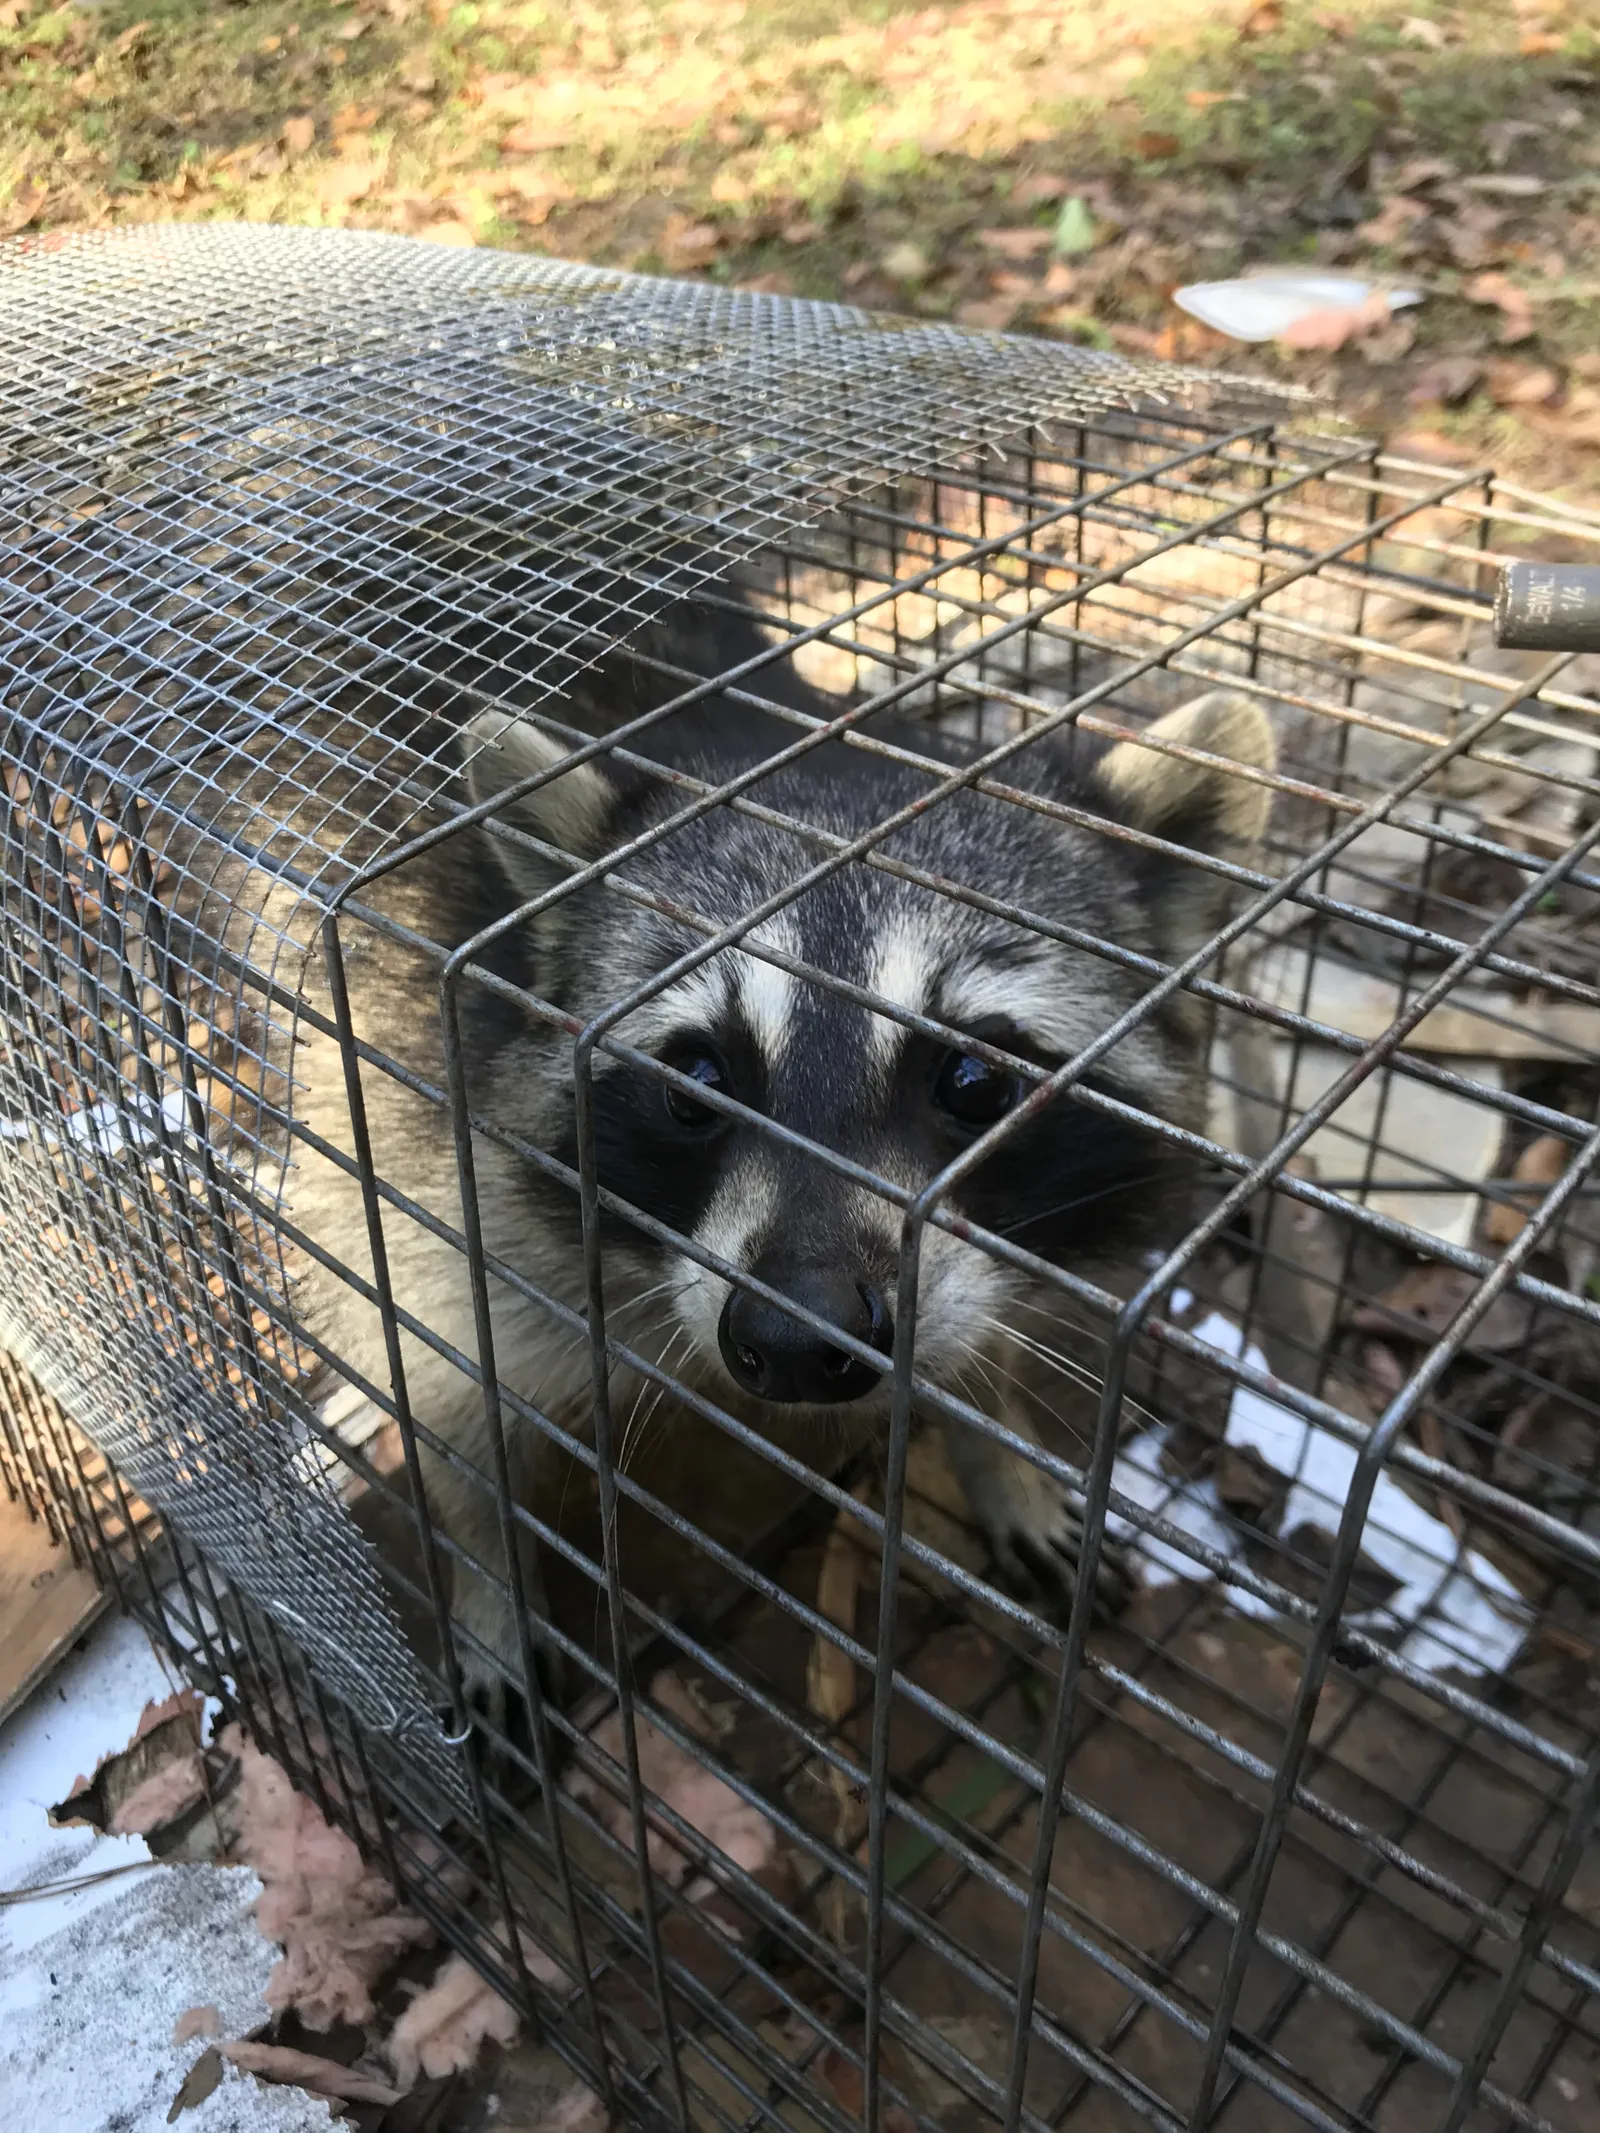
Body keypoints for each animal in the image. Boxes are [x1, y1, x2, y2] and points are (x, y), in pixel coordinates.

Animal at [285, 591, 1275, 1716]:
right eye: (698, 1078)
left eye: (972, 1080)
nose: (799, 1340)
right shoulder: (421, 1099)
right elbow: (447, 1369)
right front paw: (491, 1573)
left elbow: (970, 1323)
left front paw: (996, 1439)